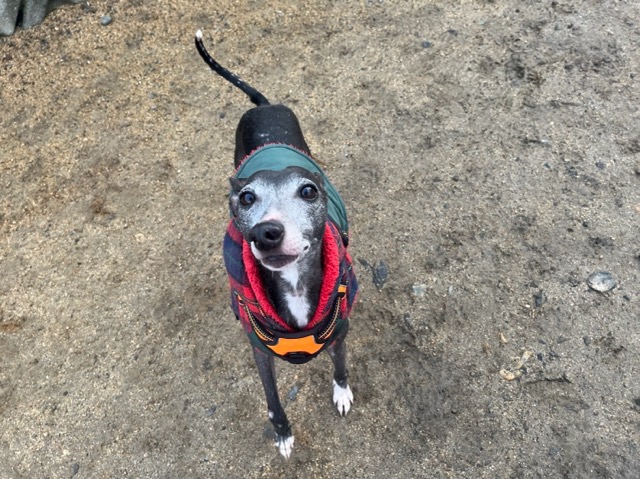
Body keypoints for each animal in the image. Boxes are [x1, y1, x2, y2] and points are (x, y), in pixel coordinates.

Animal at [195, 30, 358, 459]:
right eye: (246, 198)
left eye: (308, 191)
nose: (265, 232)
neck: (295, 286)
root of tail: (265, 105)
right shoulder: (260, 352)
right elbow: (271, 399)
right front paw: (283, 432)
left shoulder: (340, 330)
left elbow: (339, 366)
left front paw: (341, 392)